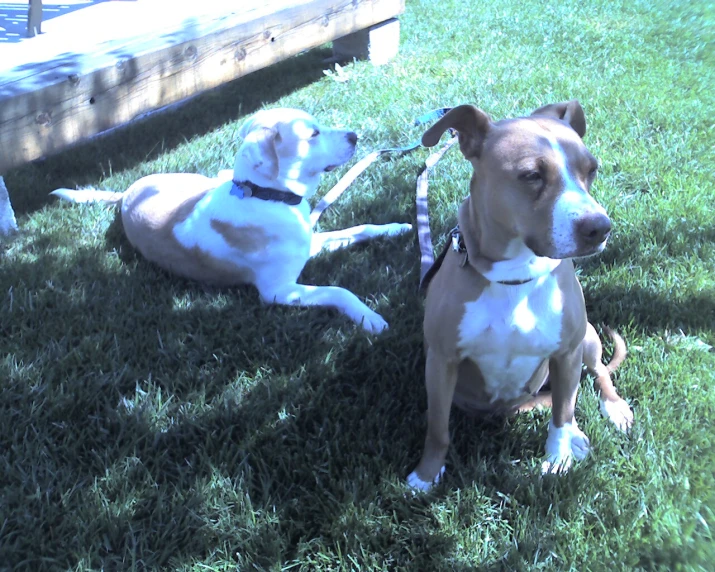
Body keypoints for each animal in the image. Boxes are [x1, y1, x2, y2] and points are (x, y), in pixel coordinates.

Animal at [53, 108, 412, 330]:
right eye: (313, 134)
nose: (354, 136)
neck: (266, 196)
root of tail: (128, 191)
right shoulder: (278, 291)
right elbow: (339, 291)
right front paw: (368, 319)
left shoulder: (309, 243)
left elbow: (361, 228)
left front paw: (397, 228)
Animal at [408, 100, 632, 490]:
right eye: (531, 175)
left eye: (591, 170)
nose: (600, 228)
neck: (515, 276)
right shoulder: (441, 361)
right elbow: (437, 428)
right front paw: (426, 474)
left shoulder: (567, 352)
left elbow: (560, 417)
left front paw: (557, 461)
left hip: (587, 339)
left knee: (593, 379)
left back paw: (609, 410)